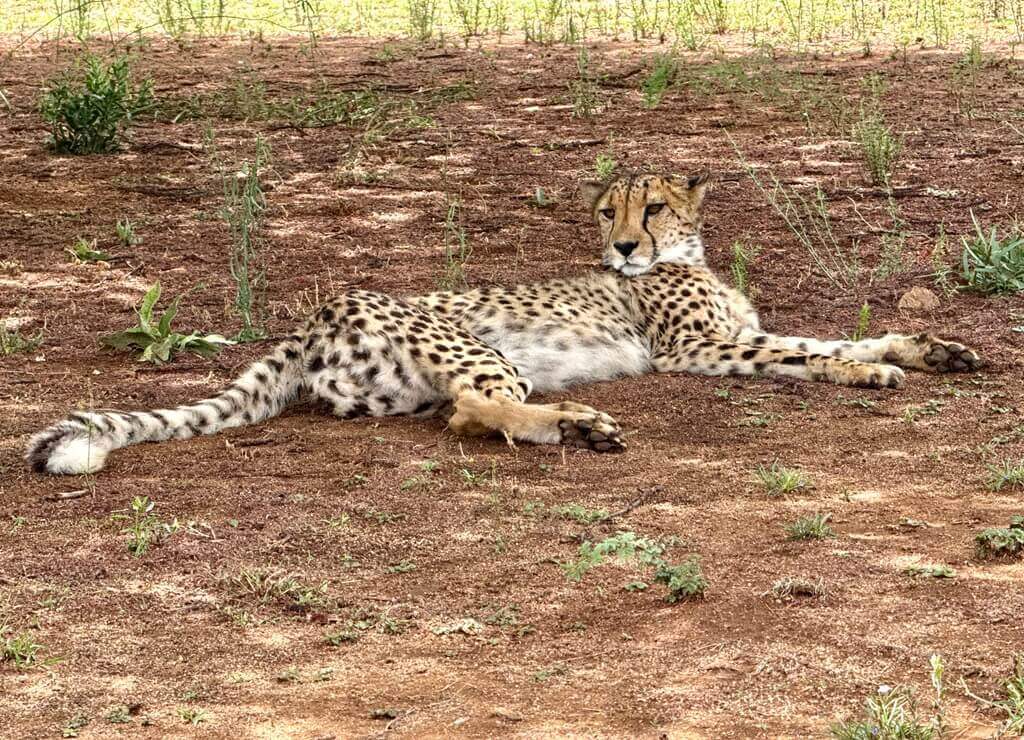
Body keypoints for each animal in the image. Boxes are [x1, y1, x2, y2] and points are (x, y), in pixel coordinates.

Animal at [26, 171, 982, 475]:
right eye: (607, 211)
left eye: (654, 207)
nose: (624, 246)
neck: (682, 257)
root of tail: (316, 312)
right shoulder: (700, 348)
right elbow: (804, 353)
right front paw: (868, 369)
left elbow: (834, 336)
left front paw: (924, 348)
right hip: (477, 349)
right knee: (477, 407)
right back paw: (579, 424)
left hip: (392, 391)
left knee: (456, 414)